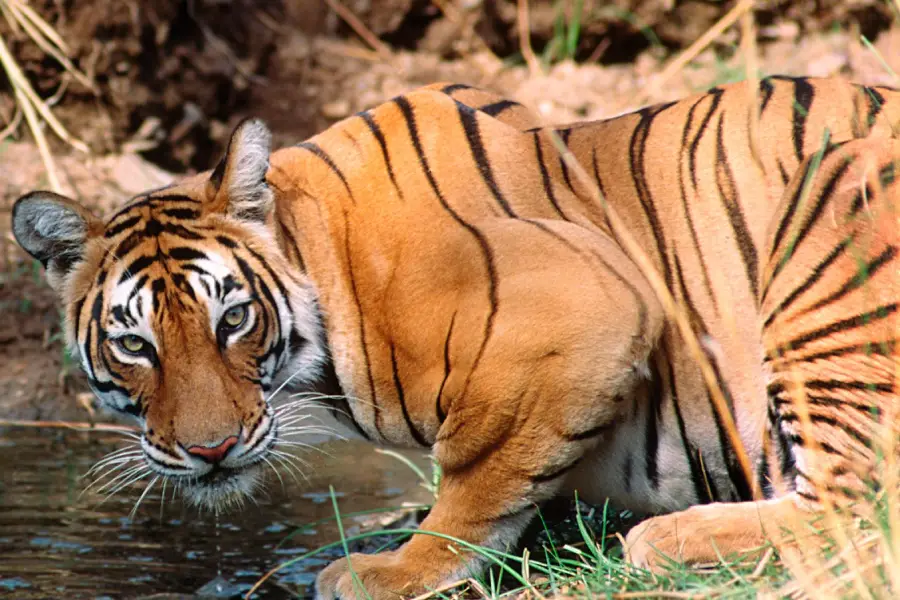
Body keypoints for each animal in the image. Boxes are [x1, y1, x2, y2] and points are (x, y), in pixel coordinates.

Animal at [10, 75, 900, 599]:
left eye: (233, 319)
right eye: (137, 346)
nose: (211, 451)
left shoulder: (591, 304)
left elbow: (475, 472)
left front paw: (395, 568)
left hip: (824, 237)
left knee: (855, 504)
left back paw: (663, 538)